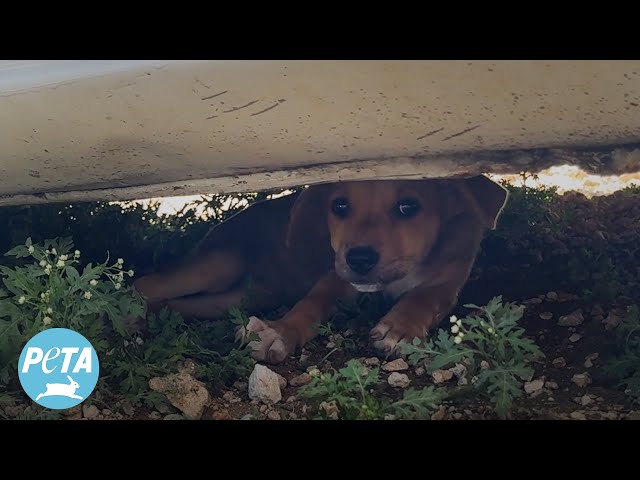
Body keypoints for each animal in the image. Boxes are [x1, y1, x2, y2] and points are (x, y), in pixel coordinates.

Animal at [132, 176, 508, 364]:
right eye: (339, 206)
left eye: (409, 206)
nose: (359, 259)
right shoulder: (336, 279)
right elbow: (311, 303)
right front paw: (279, 331)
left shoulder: (447, 282)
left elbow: (423, 298)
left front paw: (401, 328)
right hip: (221, 263)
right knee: (145, 284)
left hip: (240, 297)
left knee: (172, 304)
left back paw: (148, 322)